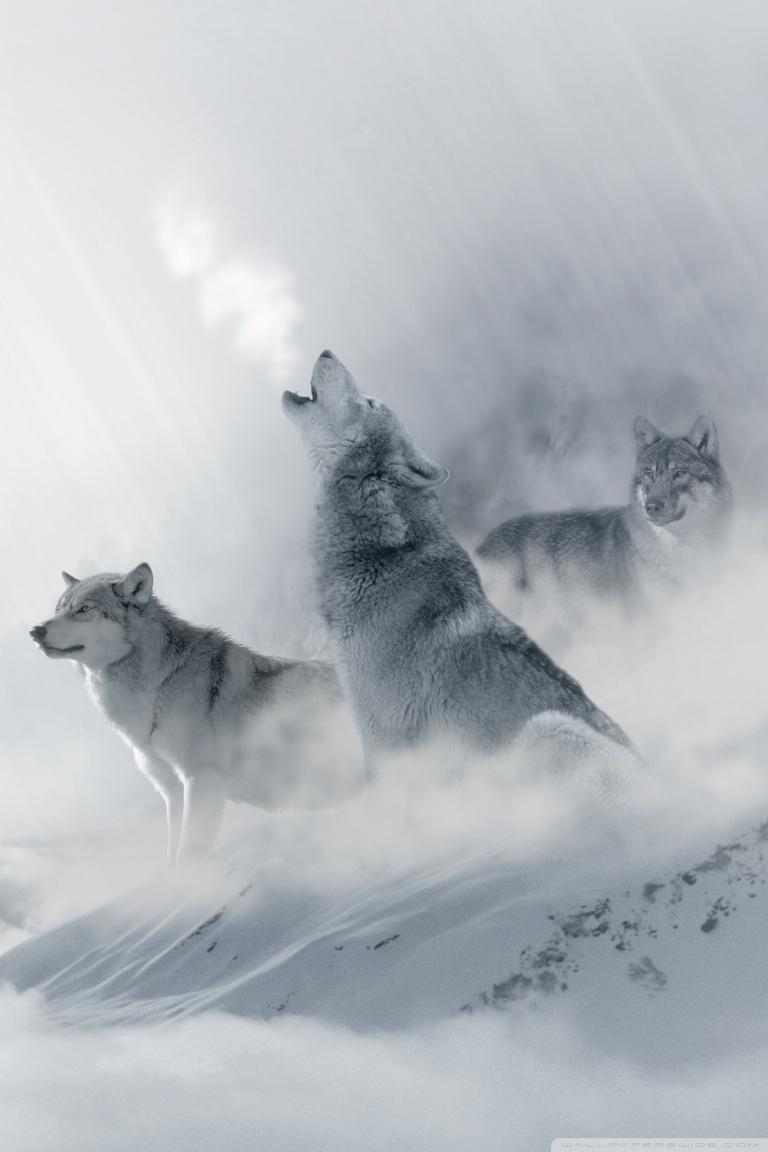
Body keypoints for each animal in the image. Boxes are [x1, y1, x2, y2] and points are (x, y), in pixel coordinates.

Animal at [30, 564, 362, 869]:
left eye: (83, 609)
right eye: (58, 609)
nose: (35, 631)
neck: (157, 687)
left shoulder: (201, 780)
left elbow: (188, 855)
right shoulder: (172, 793)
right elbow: (171, 857)